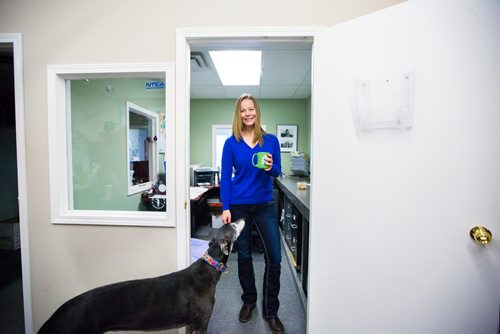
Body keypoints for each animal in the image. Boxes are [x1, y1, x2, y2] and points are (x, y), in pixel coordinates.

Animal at [38, 219, 245, 334]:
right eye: (234, 225)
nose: (242, 218)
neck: (209, 268)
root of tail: (55, 316)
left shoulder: (191, 324)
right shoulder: (202, 321)